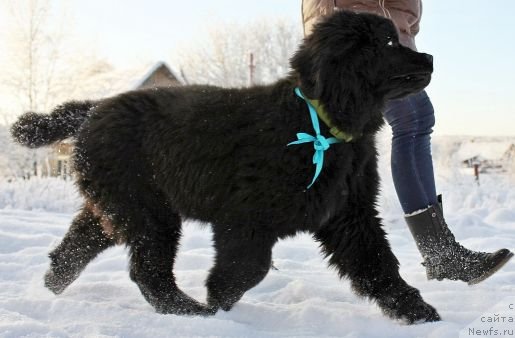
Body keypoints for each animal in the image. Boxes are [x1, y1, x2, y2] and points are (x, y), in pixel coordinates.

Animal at [11, 9, 440, 322]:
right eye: (388, 42)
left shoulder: (350, 214)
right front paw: (219, 303)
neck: (318, 120)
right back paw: (189, 311)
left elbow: (378, 264)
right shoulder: (244, 218)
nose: (430, 57)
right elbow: (250, 267)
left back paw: (51, 287)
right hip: (148, 209)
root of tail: (92, 110)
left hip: (120, 202)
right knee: (147, 269)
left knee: (76, 247)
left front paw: (416, 311)